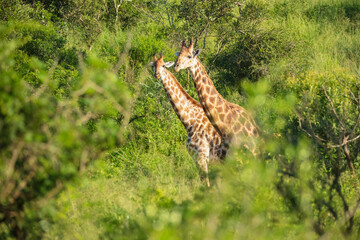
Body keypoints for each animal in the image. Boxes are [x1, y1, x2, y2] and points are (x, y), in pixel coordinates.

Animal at [150, 54, 226, 188]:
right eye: (153, 65)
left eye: (163, 65)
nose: (157, 75)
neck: (189, 122)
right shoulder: (200, 159)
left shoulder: (201, 157)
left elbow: (207, 185)